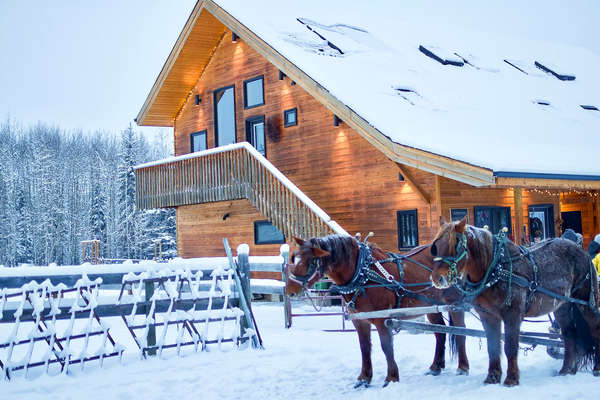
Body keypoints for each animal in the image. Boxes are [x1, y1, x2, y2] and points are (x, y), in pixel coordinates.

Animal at [284, 234, 468, 388]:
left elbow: (386, 347)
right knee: (440, 333)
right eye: (293, 258)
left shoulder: (382, 319)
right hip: (431, 306)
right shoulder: (360, 321)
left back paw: (463, 367)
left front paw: (391, 378)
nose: (289, 290)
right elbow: (365, 347)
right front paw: (364, 378)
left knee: (460, 331)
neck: (362, 274)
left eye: (308, 262)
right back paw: (435, 367)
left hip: (455, 303)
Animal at [432, 217, 600, 386]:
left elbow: (510, 346)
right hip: (562, 306)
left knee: (594, 329)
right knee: (569, 334)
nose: (437, 279)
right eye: (436, 246)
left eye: (455, 245)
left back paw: (596, 369)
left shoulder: (513, 314)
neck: (495, 269)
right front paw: (492, 377)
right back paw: (566, 370)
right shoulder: (488, 316)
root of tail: (583, 252)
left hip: (585, 302)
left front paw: (511, 379)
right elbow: (492, 347)